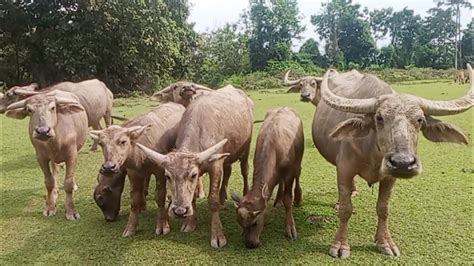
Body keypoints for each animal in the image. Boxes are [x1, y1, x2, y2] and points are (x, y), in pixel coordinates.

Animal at [137, 84, 254, 247]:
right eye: (168, 176)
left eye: (193, 175)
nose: (180, 211)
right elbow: (192, 197)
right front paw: (190, 222)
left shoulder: (215, 165)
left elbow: (212, 200)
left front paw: (217, 235)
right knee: (228, 170)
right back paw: (223, 198)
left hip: (246, 148)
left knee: (245, 170)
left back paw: (244, 192)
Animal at [232, 107, 304, 248]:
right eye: (239, 222)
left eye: (255, 222)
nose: (250, 244)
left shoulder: (289, 172)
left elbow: (288, 200)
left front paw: (290, 229)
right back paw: (278, 200)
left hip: (298, 160)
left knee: (298, 174)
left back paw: (298, 198)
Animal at [312, 64, 472, 258]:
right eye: (379, 118)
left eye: (420, 120)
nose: (403, 162)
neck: (373, 152)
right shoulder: (344, 169)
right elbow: (345, 209)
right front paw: (341, 245)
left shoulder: (390, 177)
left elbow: (383, 208)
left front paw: (384, 242)